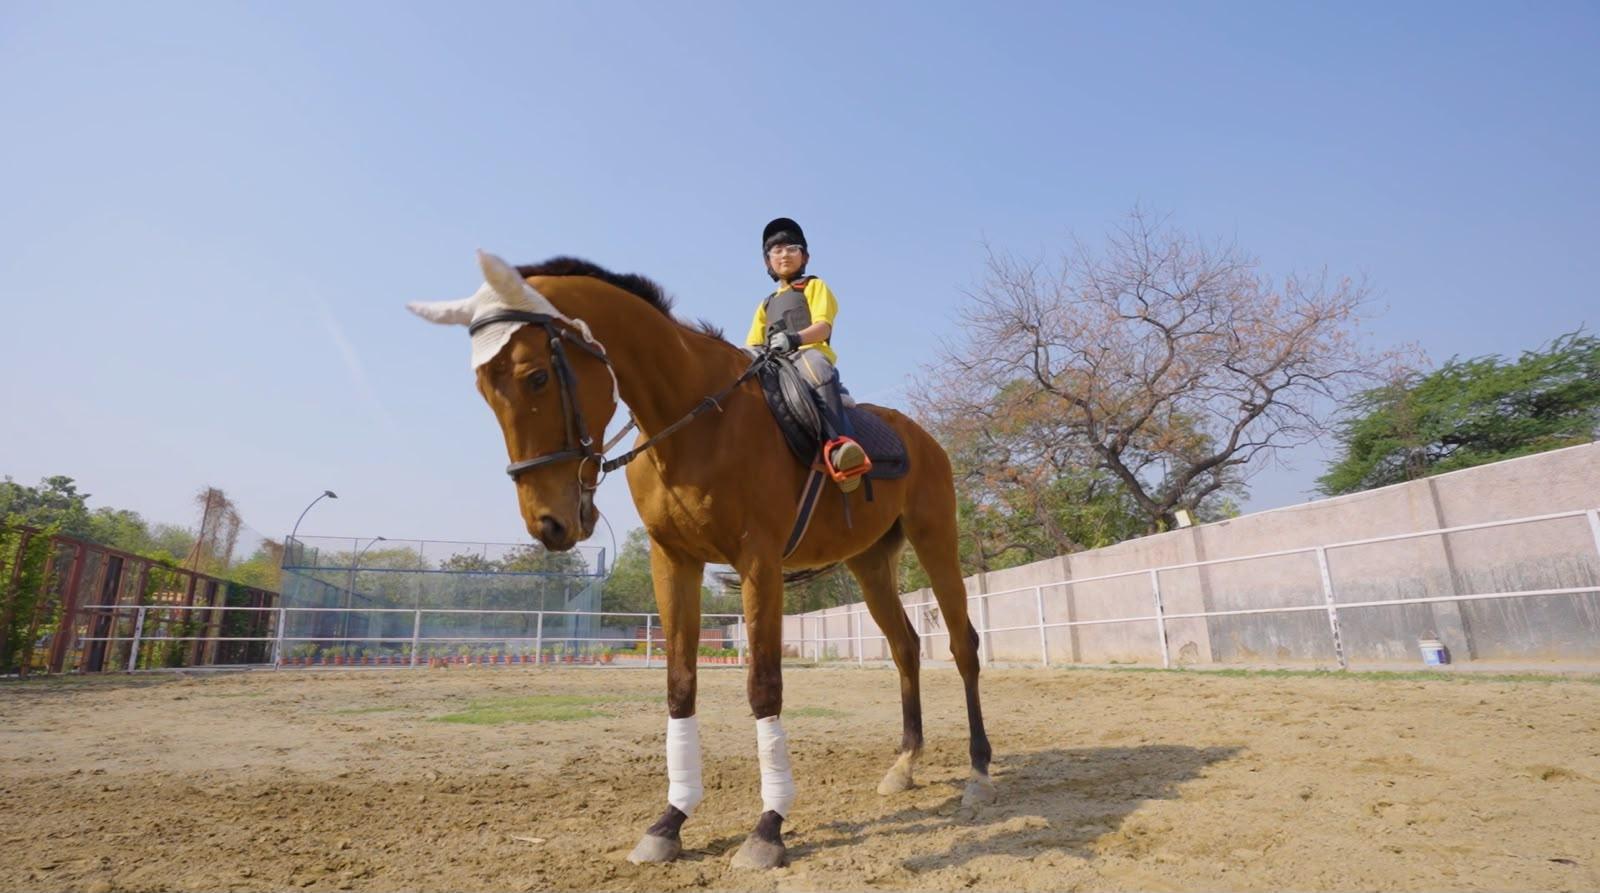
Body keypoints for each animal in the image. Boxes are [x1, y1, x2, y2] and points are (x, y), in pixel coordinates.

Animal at [408, 250, 994, 869]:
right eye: (483, 390)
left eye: (536, 377)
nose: (549, 523)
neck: (694, 421)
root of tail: (920, 436)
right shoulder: (674, 561)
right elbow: (680, 685)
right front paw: (671, 820)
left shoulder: (758, 561)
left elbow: (763, 687)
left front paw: (768, 828)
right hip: (870, 563)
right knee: (905, 649)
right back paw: (905, 765)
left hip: (936, 539)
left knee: (962, 646)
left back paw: (979, 774)